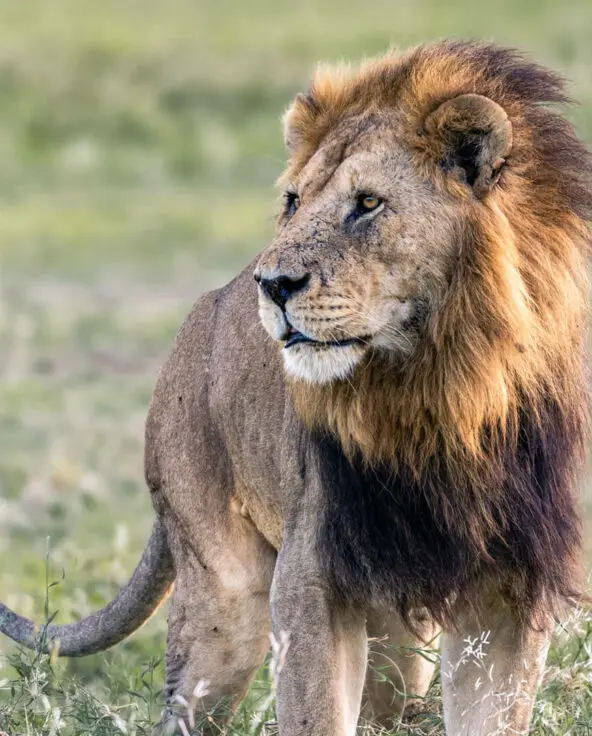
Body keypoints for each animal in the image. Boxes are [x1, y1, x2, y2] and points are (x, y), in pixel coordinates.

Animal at [1, 41, 591, 736]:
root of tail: (204, 309)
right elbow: (314, 713)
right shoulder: (311, 580)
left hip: (399, 640)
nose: (273, 284)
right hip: (223, 605)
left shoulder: (512, 591)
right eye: (292, 201)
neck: (439, 390)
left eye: (368, 204)